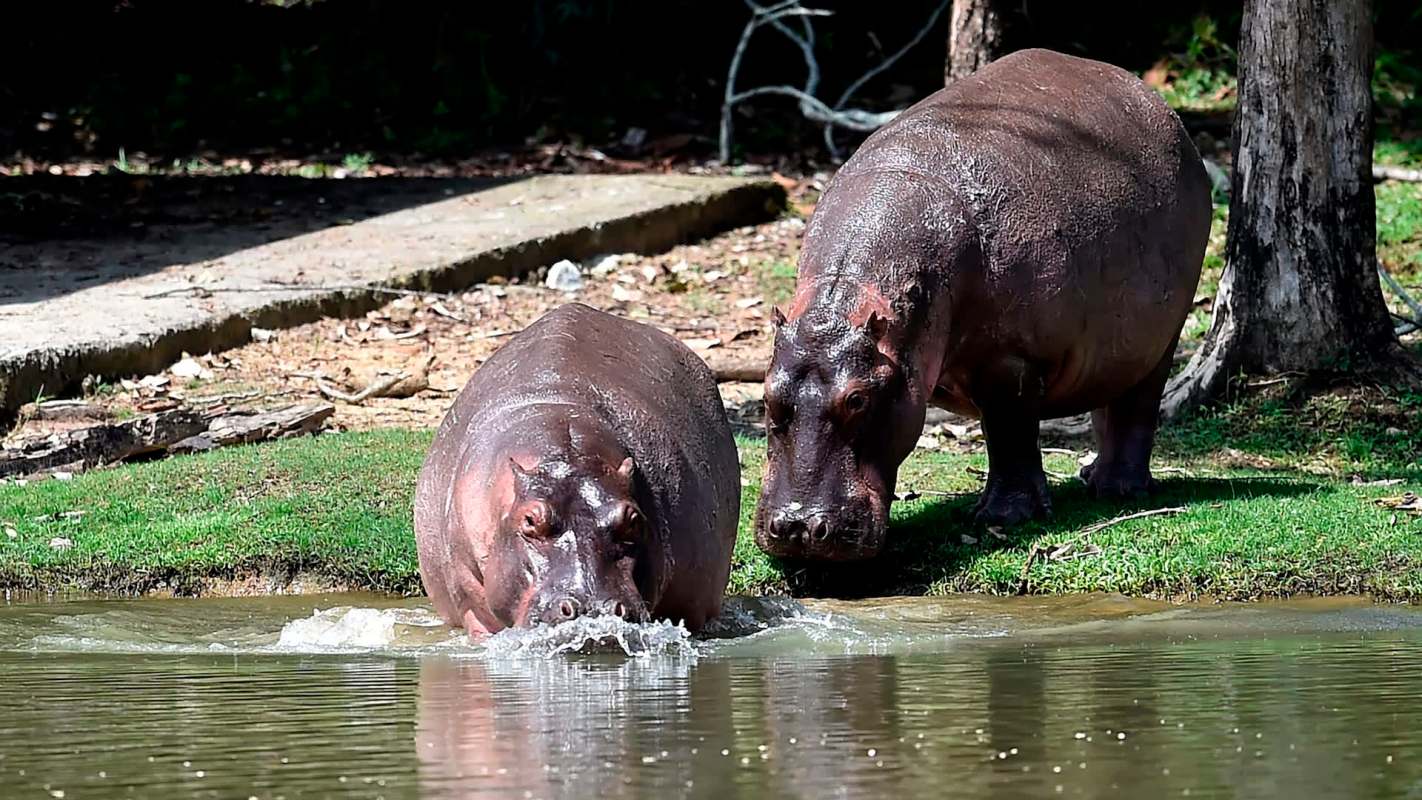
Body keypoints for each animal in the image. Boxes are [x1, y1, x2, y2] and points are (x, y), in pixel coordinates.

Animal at [754, 48, 1211, 561]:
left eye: (857, 398)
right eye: (766, 396)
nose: (798, 527)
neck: (853, 292)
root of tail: (1157, 104)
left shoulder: (1009, 359)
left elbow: (1010, 433)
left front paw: (1004, 517)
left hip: (1165, 332)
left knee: (1139, 403)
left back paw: (1120, 490)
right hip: (1117, 343)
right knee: (1108, 395)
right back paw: (1091, 476)